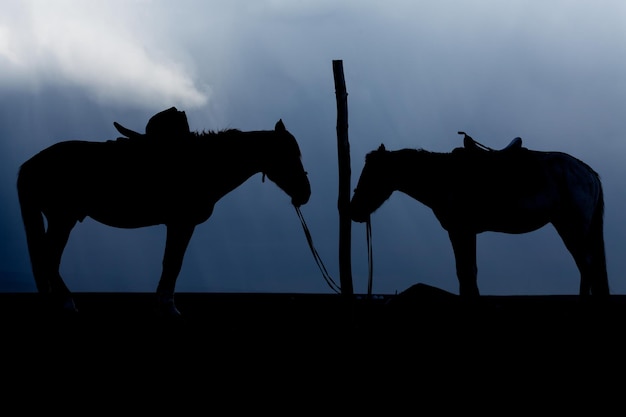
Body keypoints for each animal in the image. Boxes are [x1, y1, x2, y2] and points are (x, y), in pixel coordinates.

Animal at [18, 115, 310, 314]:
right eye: (288, 155)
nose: (305, 193)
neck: (204, 164)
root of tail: (31, 163)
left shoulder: (178, 224)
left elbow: (170, 262)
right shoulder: (182, 223)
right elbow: (173, 262)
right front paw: (168, 305)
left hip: (59, 219)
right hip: (62, 219)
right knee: (48, 258)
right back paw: (67, 302)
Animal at [348, 138, 608, 298]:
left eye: (371, 174)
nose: (354, 210)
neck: (445, 178)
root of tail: (588, 172)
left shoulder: (460, 230)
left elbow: (465, 273)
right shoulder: (466, 232)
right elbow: (468, 272)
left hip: (573, 227)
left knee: (587, 265)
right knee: (587, 266)